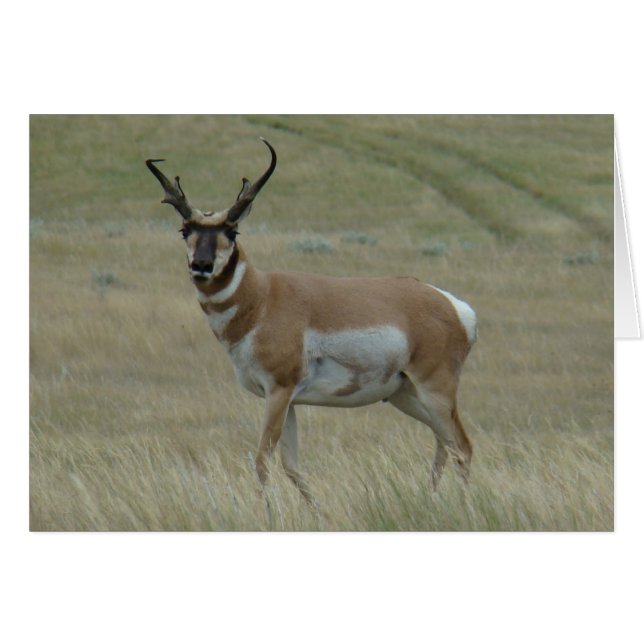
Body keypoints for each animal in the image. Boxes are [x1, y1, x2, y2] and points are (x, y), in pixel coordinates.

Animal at [146, 138, 477, 506]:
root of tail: (453, 305)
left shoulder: (279, 390)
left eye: (232, 231)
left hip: (435, 390)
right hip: (405, 394)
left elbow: (262, 460)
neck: (263, 297)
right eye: (184, 230)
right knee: (443, 443)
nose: (201, 265)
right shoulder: (288, 399)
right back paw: (430, 497)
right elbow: (291, 465)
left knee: (462, 447)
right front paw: (317, 511)